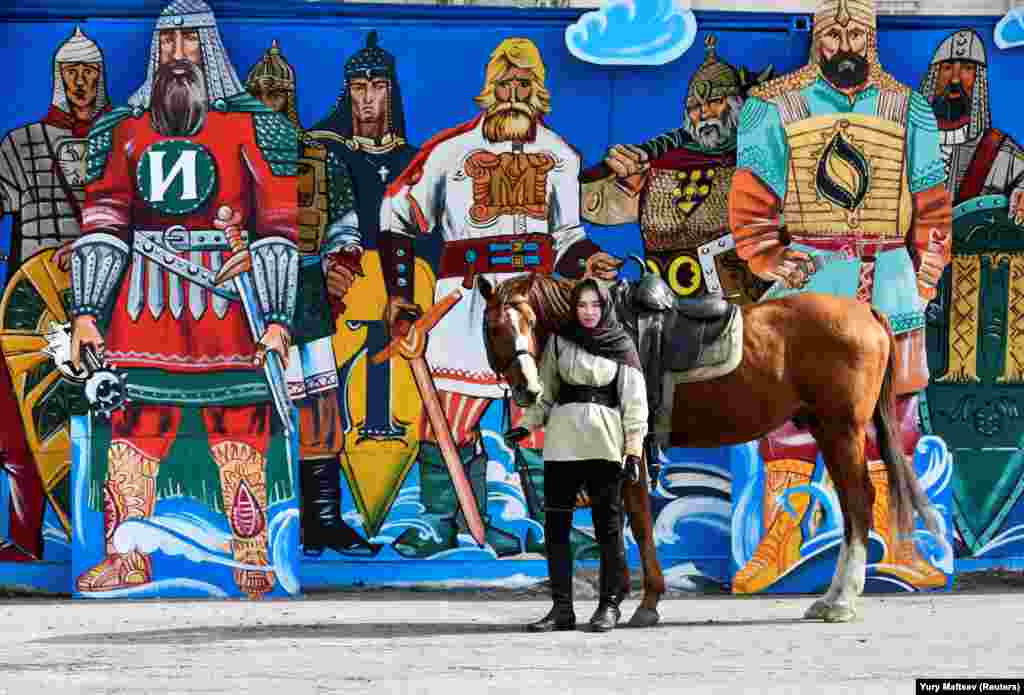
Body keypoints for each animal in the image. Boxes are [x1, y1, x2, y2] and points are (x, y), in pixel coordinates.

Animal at [479, 270, 937, 626]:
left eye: (529, 320)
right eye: (493, 327)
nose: (528, 388)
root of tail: (866, 313)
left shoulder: (631, 449)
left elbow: (639, 523)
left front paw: (645, 602)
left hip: (842, 429)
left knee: (858, 502)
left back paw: (841, 600)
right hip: (828, 430)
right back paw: (830, 598)